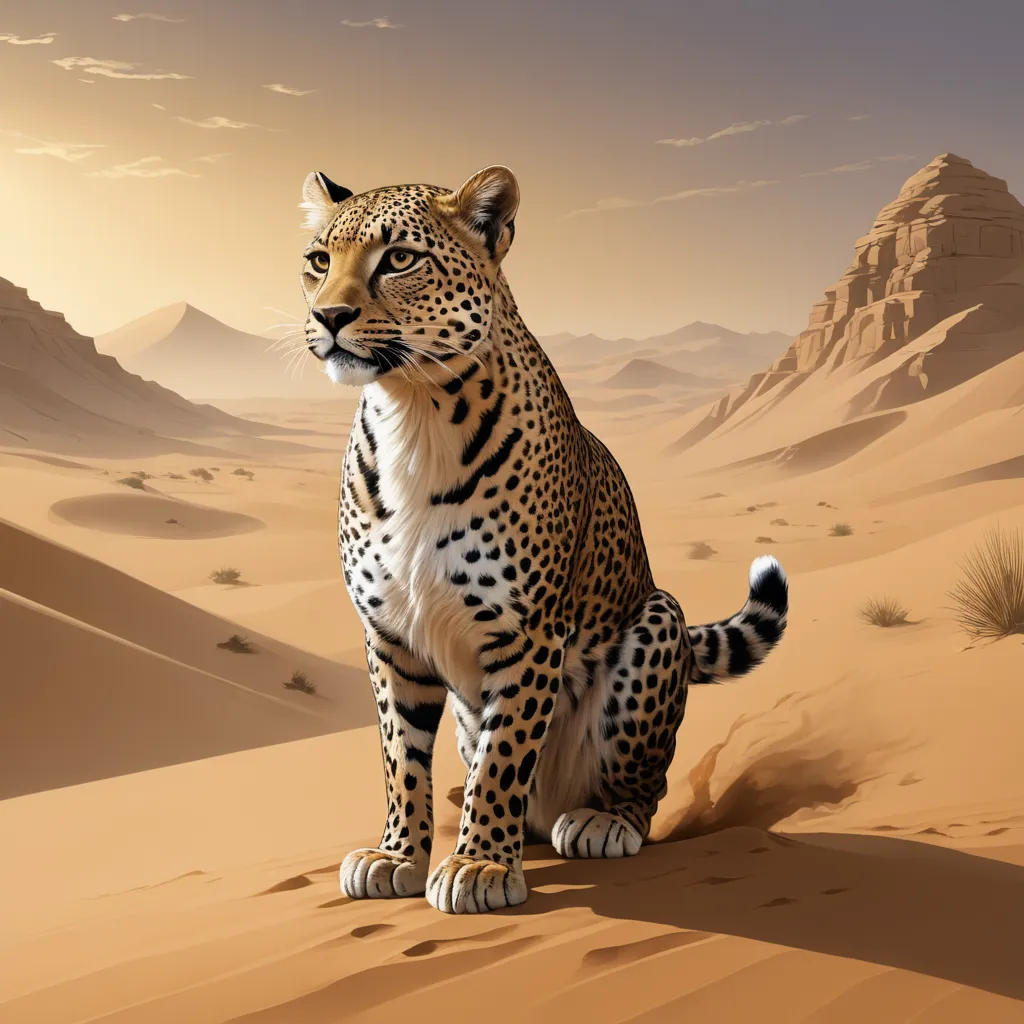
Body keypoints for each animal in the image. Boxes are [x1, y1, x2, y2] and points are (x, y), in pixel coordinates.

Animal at [297, 165, 788, 914]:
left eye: (399, 259)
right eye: (320, 261)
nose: (329, 317)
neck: (413, 410)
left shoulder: (524, 632)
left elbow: (504, 757)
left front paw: (478, 866)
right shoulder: (390, 636)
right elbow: (399, 755)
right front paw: (397, 855)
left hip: (657, 618)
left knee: (641, 784)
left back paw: (598, 823)